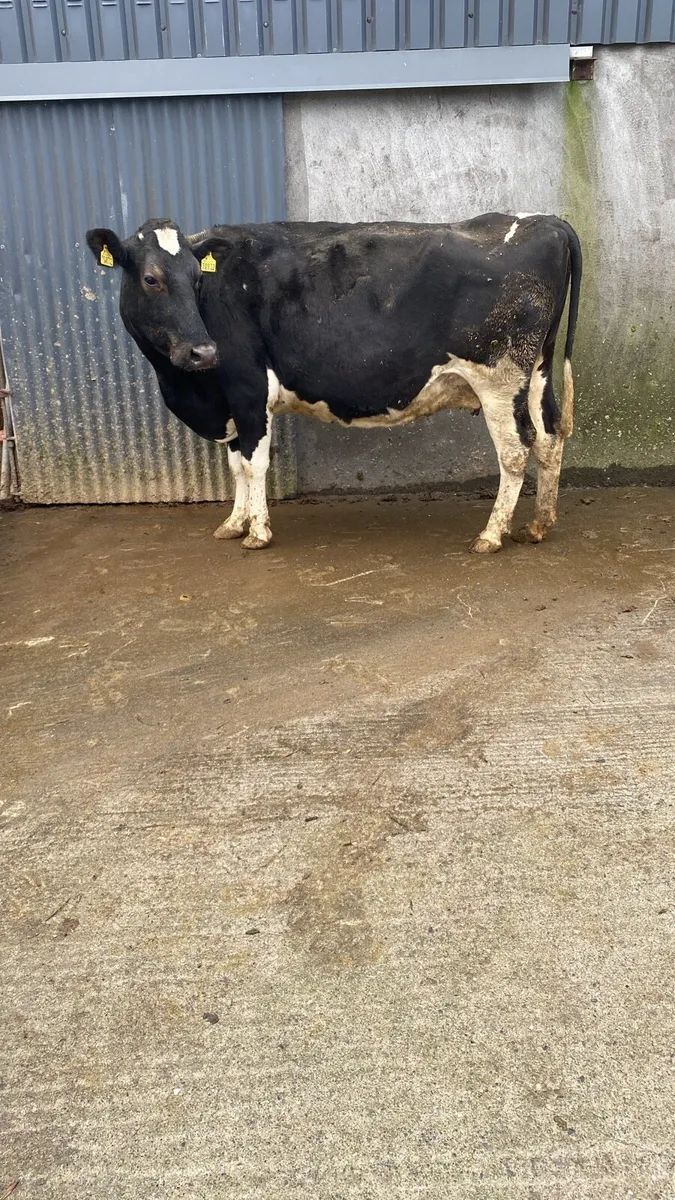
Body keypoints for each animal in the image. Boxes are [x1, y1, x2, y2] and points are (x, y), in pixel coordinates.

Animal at [86, 214, 581, 552]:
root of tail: (543, 220)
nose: (204, 352)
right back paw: (539, 524)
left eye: (195, 279)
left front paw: (257, 532)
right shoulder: (232, 400)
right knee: (550, 437)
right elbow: (236, 466)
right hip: (536, 372)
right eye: (151, 279)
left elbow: (254, 464)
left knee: (517, 449)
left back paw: (492, 534)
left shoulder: (248, 389)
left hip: (500, 377)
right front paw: (233, 523)